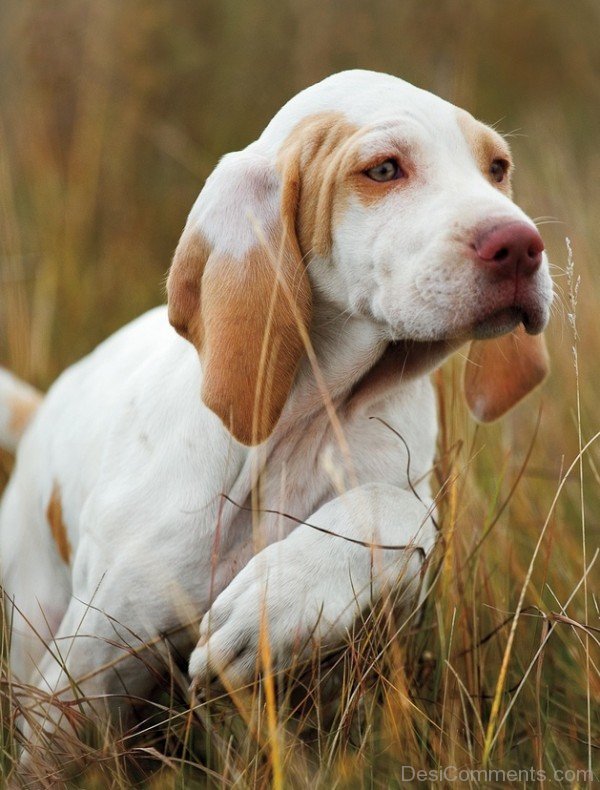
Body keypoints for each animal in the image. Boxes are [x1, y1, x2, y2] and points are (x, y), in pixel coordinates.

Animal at [1, 71, 552, 764]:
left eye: (497, 168)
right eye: (383, 169)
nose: (522, 247)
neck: (305, 425)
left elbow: (401, 509)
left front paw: (276, 604)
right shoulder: (85, 674)